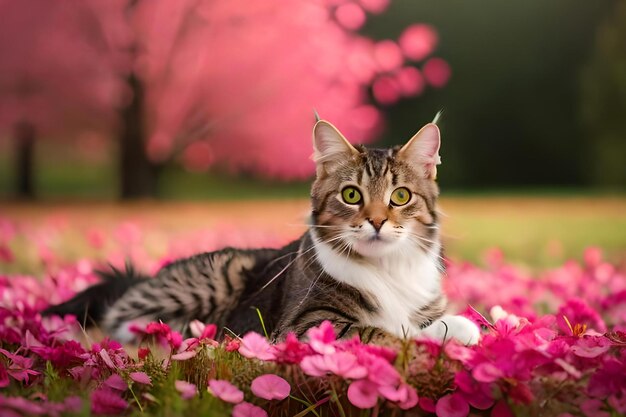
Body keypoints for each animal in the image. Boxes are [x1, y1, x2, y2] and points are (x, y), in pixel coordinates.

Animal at [44, 117, 480, 344]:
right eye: (352, 195)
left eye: (401, 196)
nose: (375, 222)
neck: (387, 267)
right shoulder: (309, 325)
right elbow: (382, 330)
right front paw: (438, 332)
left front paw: (456, 326)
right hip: (220, 275)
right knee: (122, 322)